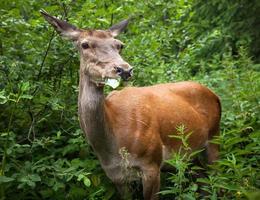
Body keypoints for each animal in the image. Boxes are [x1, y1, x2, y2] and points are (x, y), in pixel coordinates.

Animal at [40, 10, 221, 200]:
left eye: (120, 45)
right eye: (84, 44)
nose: (124, 69)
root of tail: (214, 94)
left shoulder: (152, 163)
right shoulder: (115, 175)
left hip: (214, 137)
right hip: (192, 155)